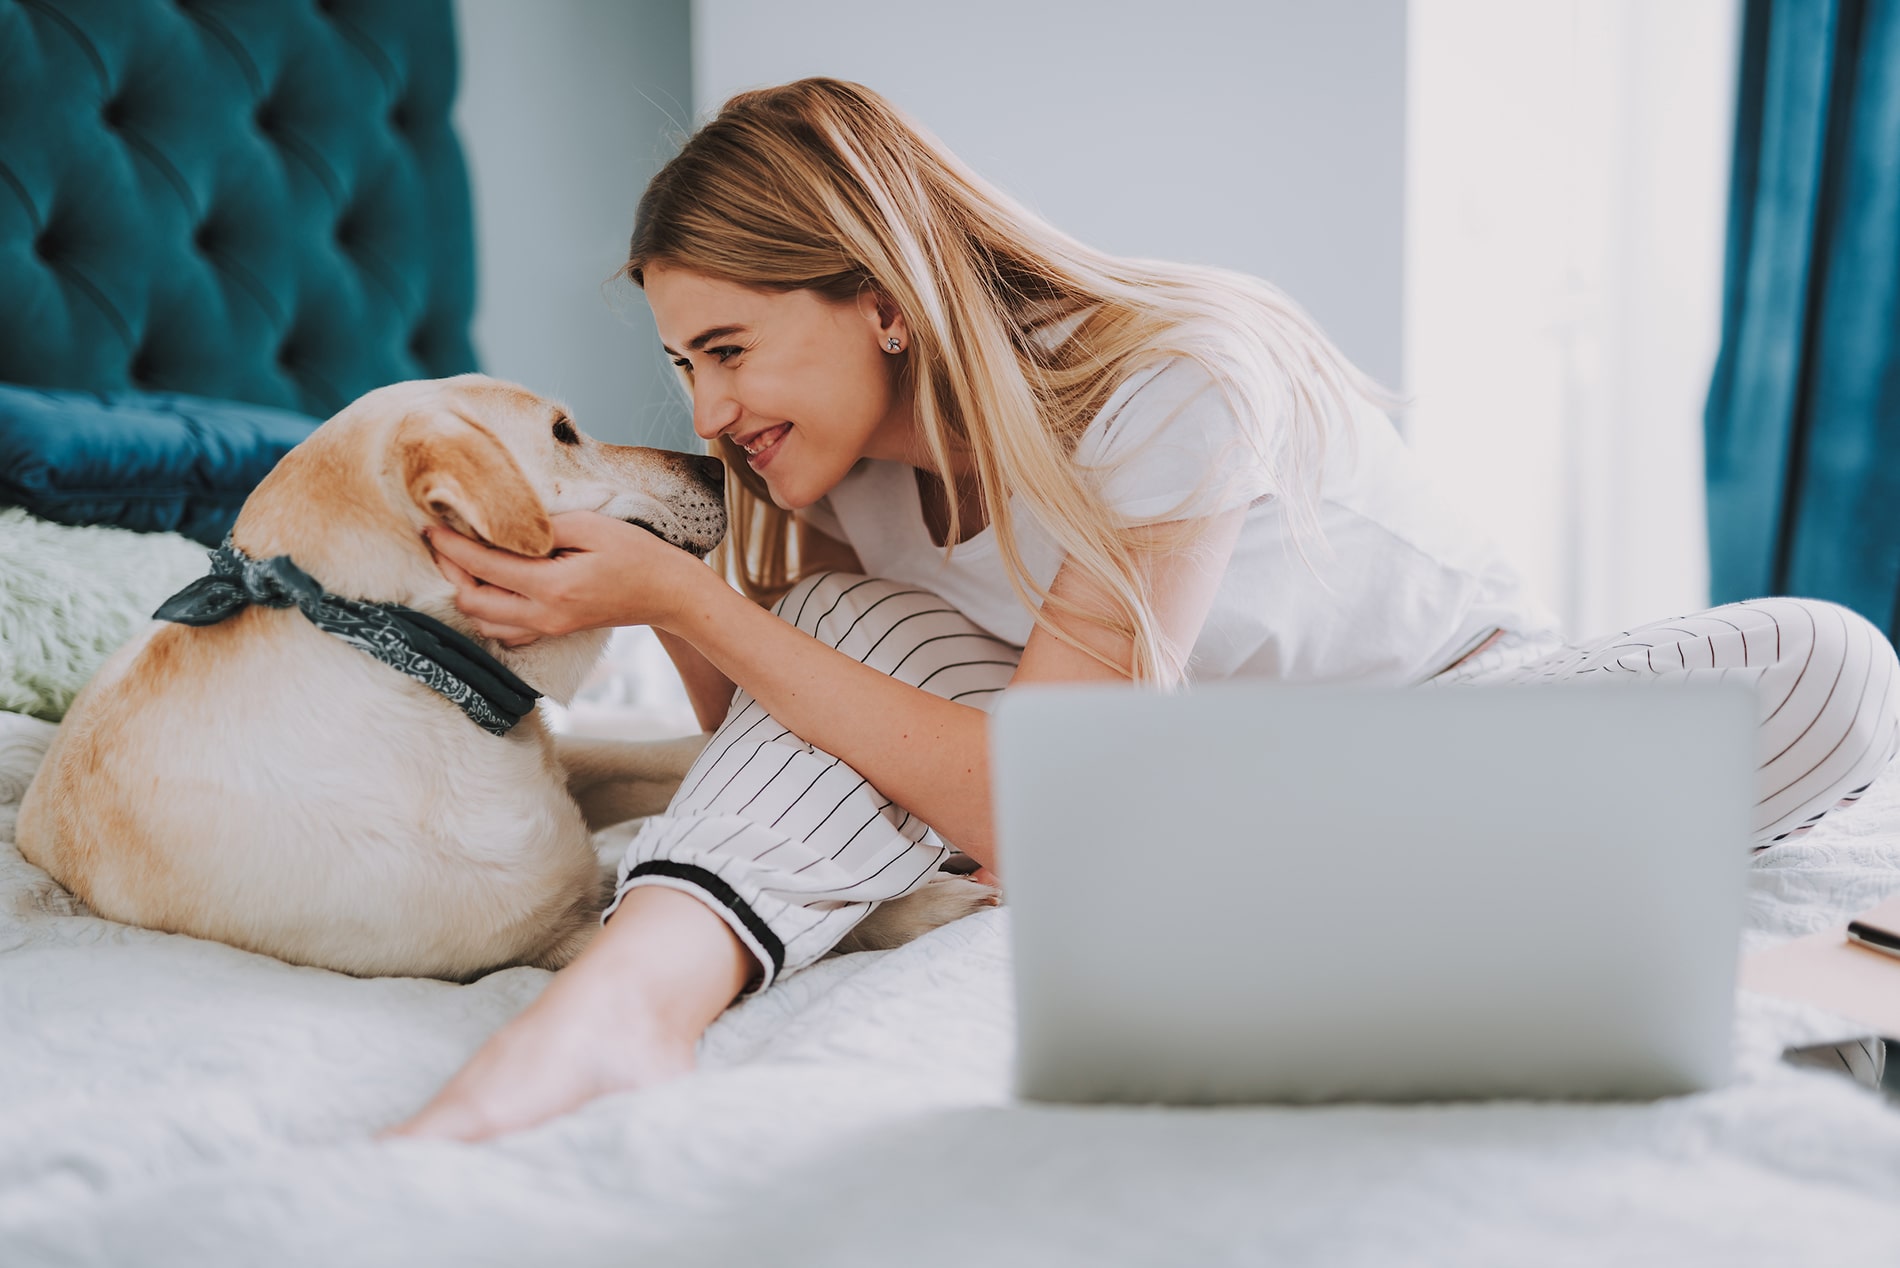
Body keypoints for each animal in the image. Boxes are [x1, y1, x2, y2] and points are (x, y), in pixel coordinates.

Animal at [14, 376, 988, 980]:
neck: (403, 661)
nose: (716, 462)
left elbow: (679, 754)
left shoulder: (563, 766)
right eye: (562, 433)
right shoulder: (549, 939)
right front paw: (936, 903)